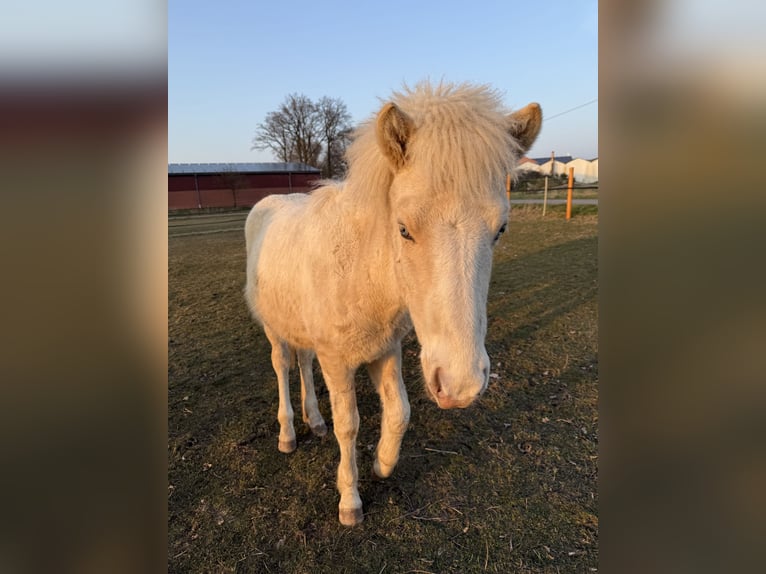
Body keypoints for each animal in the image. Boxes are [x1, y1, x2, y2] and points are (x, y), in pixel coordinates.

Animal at [244, 81, 540, 528]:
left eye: (500, 229)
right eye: (403, 230)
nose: (461, 385)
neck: (361, 272)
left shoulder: (385, 350)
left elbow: (399, 412)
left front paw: (382, 465)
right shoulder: (338, 362)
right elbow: (349, 425)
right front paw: (350, 500)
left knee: (304, 364)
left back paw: (315, 421)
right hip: (274, 329)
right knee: (283, 366)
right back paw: (289, 434)